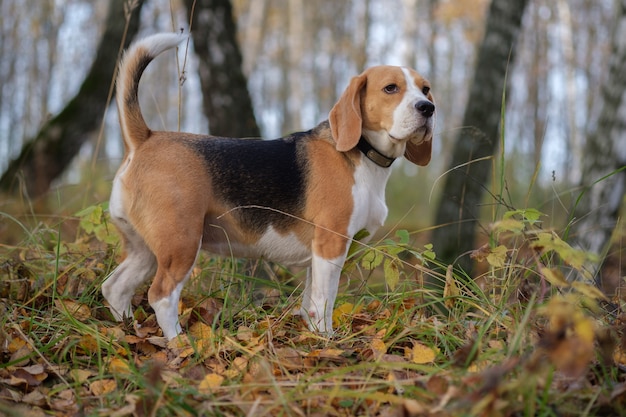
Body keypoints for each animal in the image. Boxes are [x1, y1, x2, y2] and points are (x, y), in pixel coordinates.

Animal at [102, 32, 434, 338]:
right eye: (391, 88)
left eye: (426, 89)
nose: (427, 108)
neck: (363, 154)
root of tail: (145, 138)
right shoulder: (331, 243)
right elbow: (325, 301)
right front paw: (326, 339)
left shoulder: (318, 254)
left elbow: (311, 302)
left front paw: (312, 336)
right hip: (181, 243)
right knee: (161, 296)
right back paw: (178, 343)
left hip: (144, 249)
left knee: (114, 288)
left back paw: (127, 330)